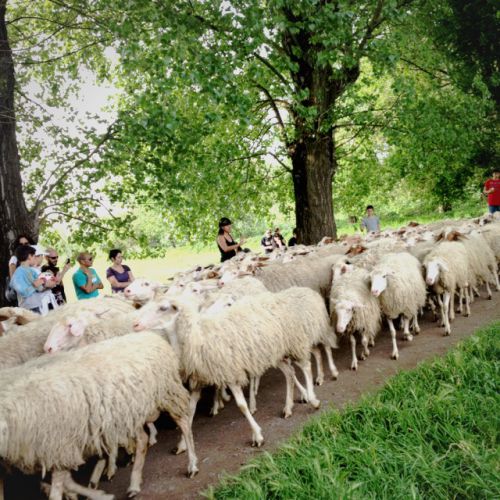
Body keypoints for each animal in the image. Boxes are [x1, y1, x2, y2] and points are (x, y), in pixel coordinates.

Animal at [0, 330, 198, 498]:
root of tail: (150, 336)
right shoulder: (54, 451)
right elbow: (65, 482)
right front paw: (94, 493)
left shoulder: (58, 446)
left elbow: (58, 488)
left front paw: (96, 493)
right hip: (126, 414)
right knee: (142, 439)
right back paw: (133, 484)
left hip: (167, 392)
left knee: (184, 423)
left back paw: (191, 463)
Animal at [132, 288, 332, 448]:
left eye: (163, 308)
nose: (134, 324)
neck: (197, 335)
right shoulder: (199, 380)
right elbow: (190, 412)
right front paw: (183, 445)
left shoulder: (229, 372)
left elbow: (242, 406)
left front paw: (257, 435)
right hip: (277, 353)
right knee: (289, 374)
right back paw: (288, 408)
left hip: (294, 343)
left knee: (306, 367)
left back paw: (313, 399)